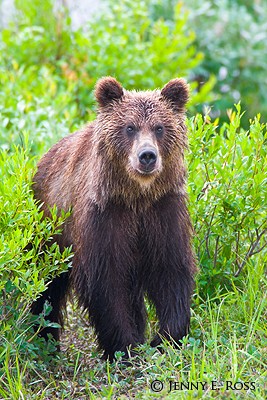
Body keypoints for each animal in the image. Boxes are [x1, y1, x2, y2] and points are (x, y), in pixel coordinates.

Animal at [31, 75, 199, 360]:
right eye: (129, 127)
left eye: (159, 128)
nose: (147, 156)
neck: (136, 197)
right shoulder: (104, 216)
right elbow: (105, 281)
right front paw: (124, 347)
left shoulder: (163, 212)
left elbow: (171, 269)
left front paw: (164, 339)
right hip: (50, 225)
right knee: (46, 282)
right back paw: (43, 339)